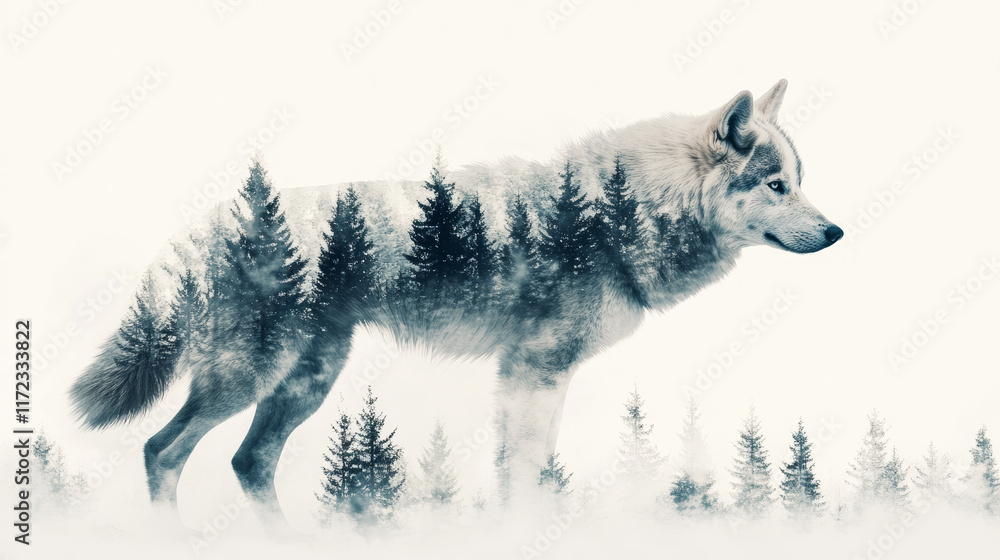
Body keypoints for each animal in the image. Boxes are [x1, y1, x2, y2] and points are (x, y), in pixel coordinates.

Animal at [70, 79, 841, 530]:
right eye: (776, 185)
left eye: (799, 181)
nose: (836, 232)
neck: (618, 215)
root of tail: (206, 225)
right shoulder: (535, 369)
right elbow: (525, 471)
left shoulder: (535, 375)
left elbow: (523, 467)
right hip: (251, 377)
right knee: (162, 450)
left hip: (305, 382)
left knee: (247, 462)